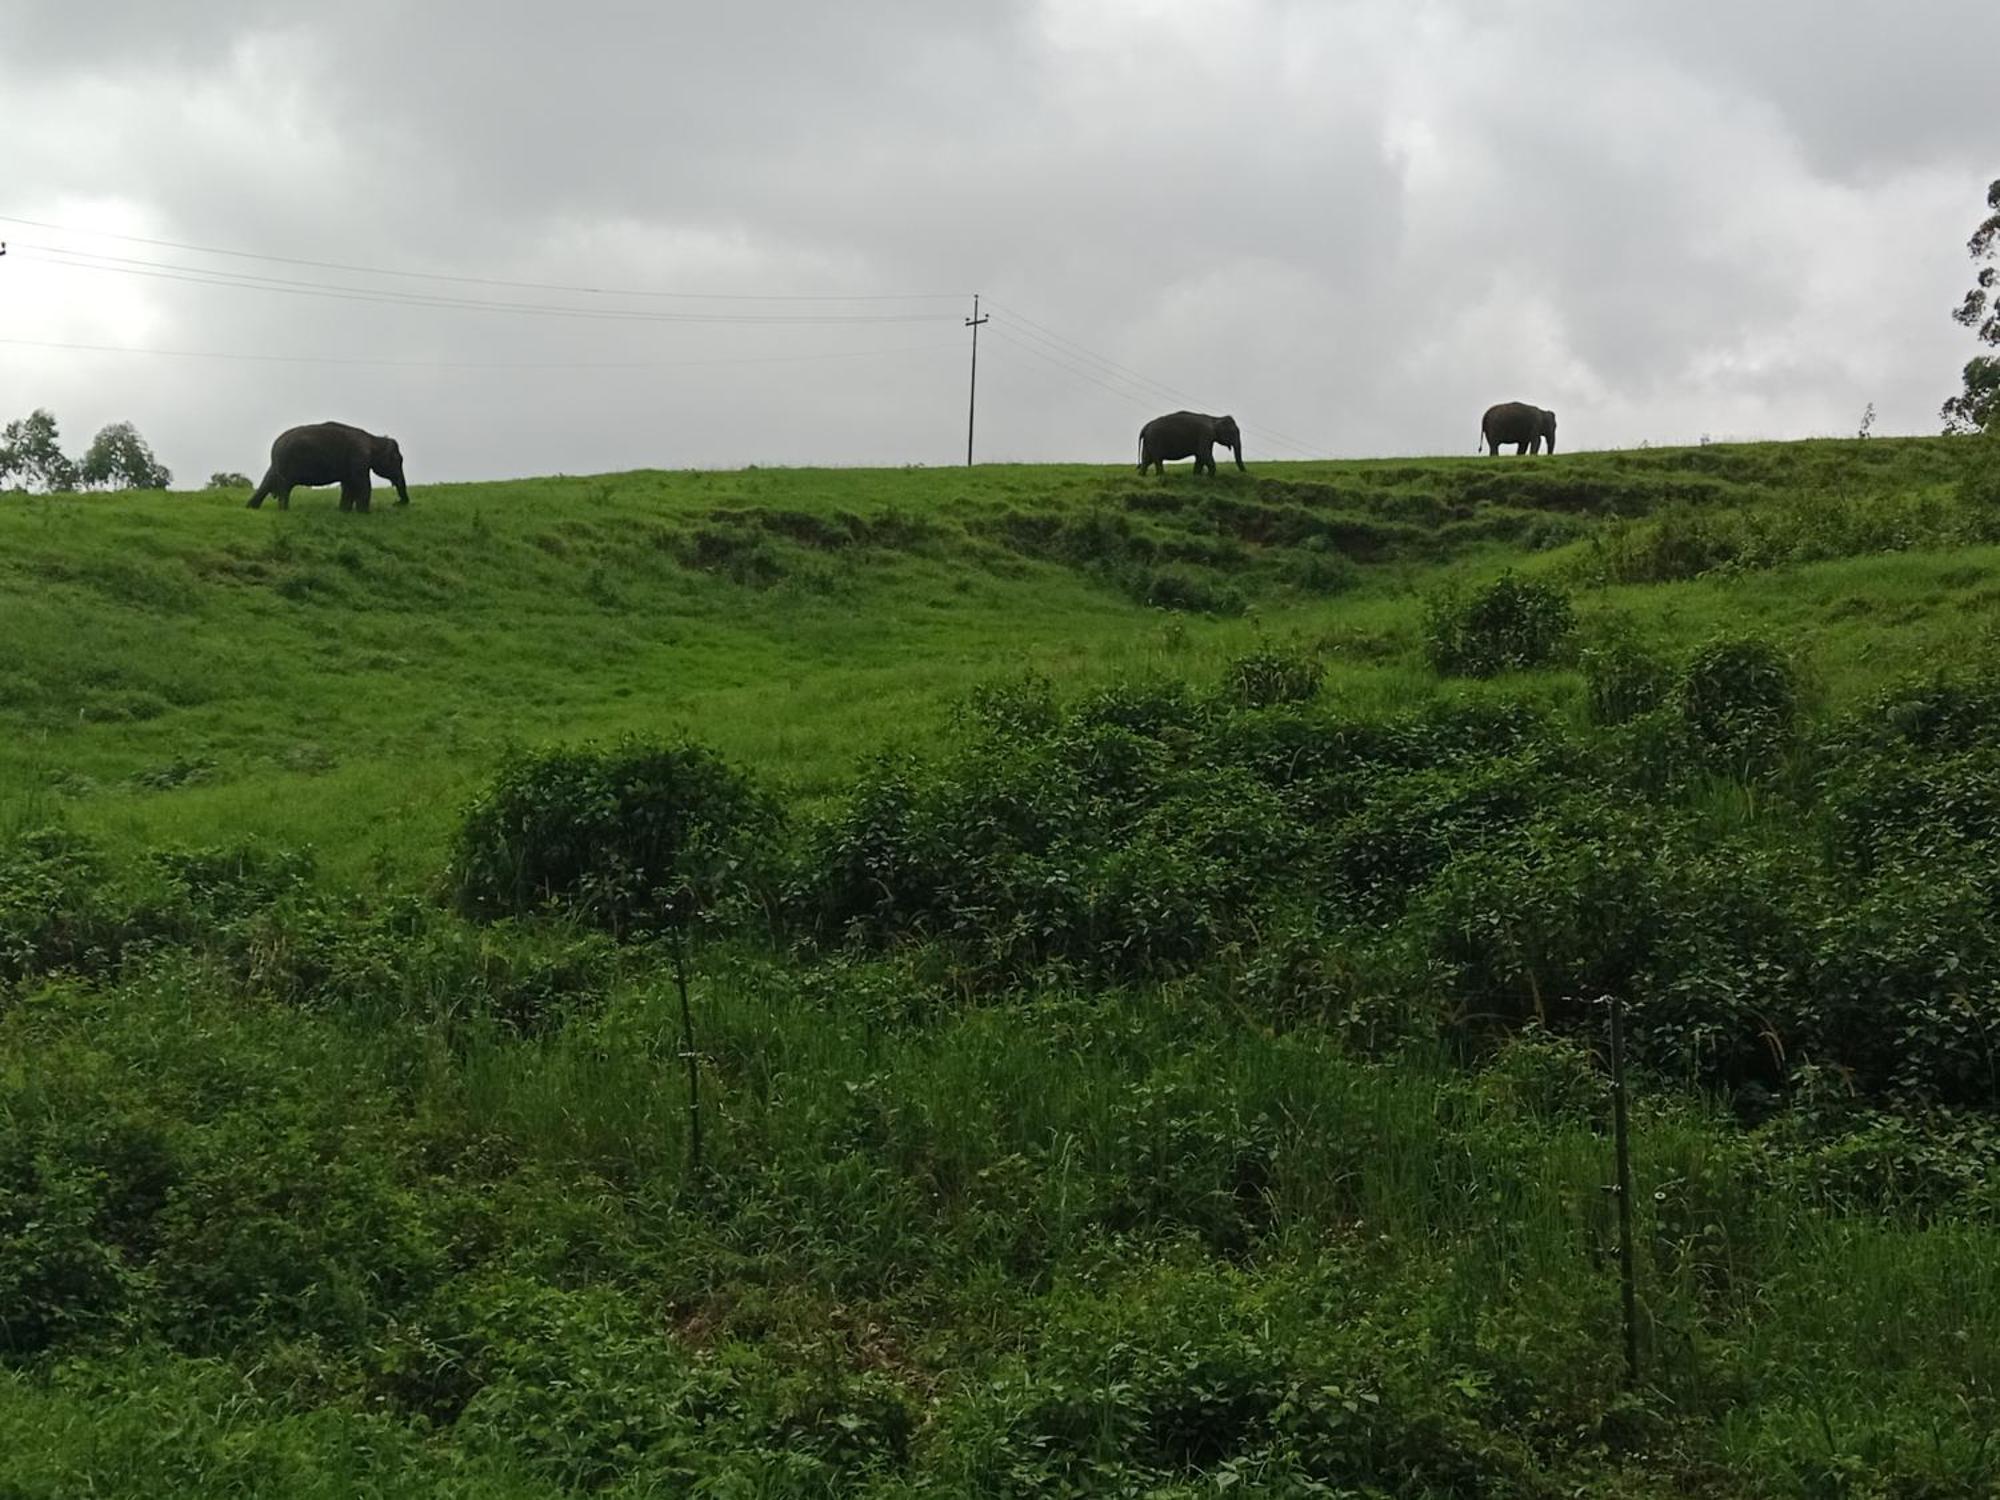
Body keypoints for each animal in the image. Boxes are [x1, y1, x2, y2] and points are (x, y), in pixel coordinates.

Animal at [246, 420, 410, 516]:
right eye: (398, 460)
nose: (397, 503)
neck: (373, 439)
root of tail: (275, 445)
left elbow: (348, 485)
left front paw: (344, 512)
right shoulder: (359, 456)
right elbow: (362, 484)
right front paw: (365, 514)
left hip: (277, 465)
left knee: (267, 481)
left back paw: (250, 508)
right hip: (287, 463)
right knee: (285, 488)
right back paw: (284, 511)